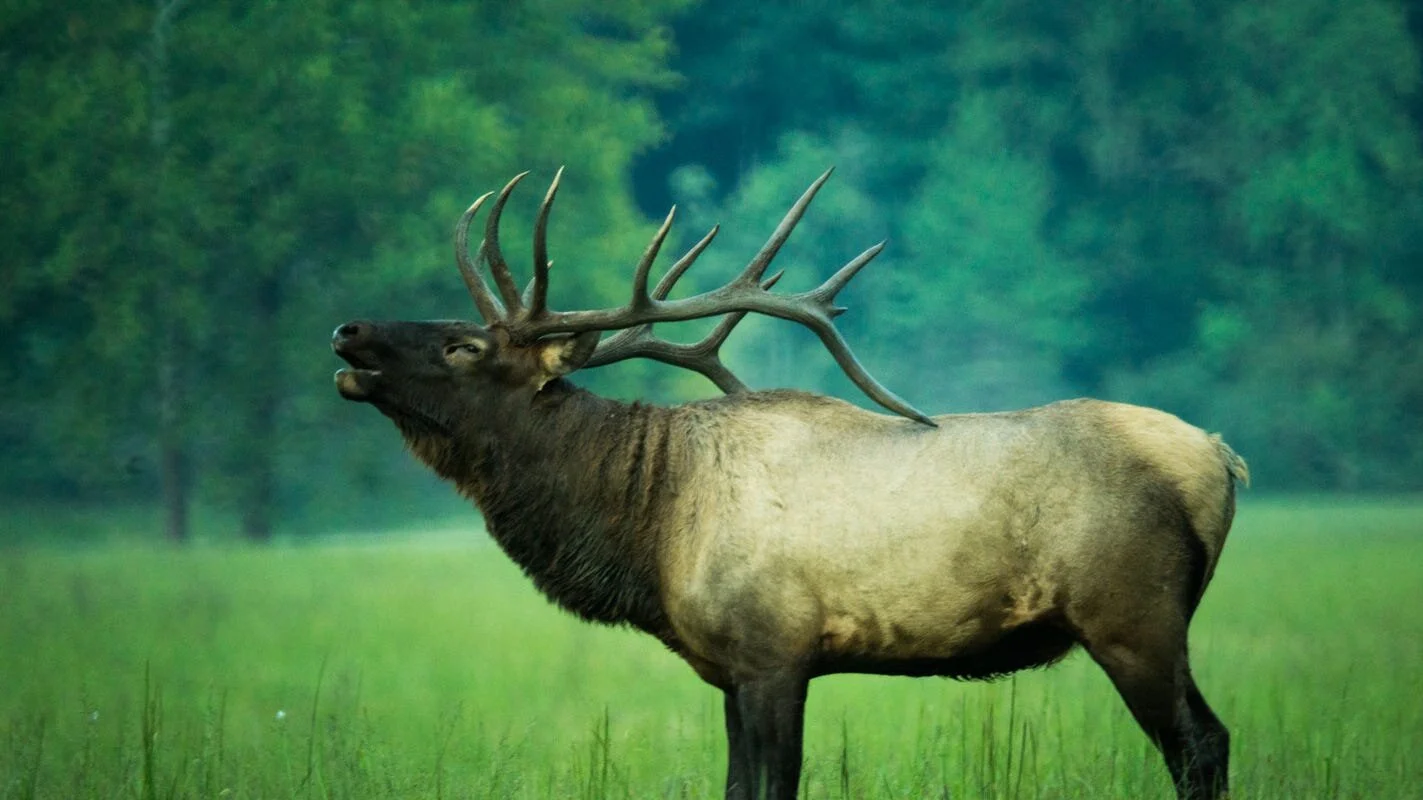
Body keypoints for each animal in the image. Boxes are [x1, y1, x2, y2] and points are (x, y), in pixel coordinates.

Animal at [331, 168, 1249, 800]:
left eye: (462, 346)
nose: (348, 330)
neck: (648, 529)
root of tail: (1219, 458)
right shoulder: (728, 671)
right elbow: (737, 788)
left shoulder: (775, 653)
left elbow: (774, 787)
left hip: (1131, 615)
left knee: (1200, 744)